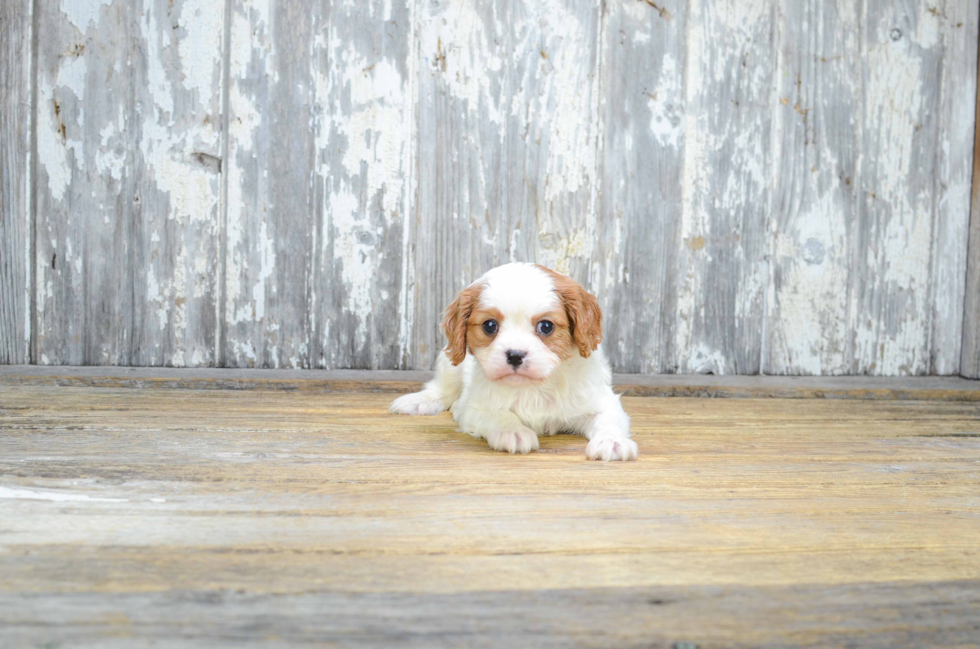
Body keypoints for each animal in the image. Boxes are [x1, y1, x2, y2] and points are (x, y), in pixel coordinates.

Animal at [390, 260, 636, 458]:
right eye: (490, 325)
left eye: (546, 326)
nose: (515, 355)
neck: (534, 387)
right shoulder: (473, 407)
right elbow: (498, 414)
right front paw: (513, 431)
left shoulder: (601, 401)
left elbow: (608, 419)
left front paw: (612, 441)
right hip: (449, 365)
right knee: (442, 390)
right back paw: (418, 401)